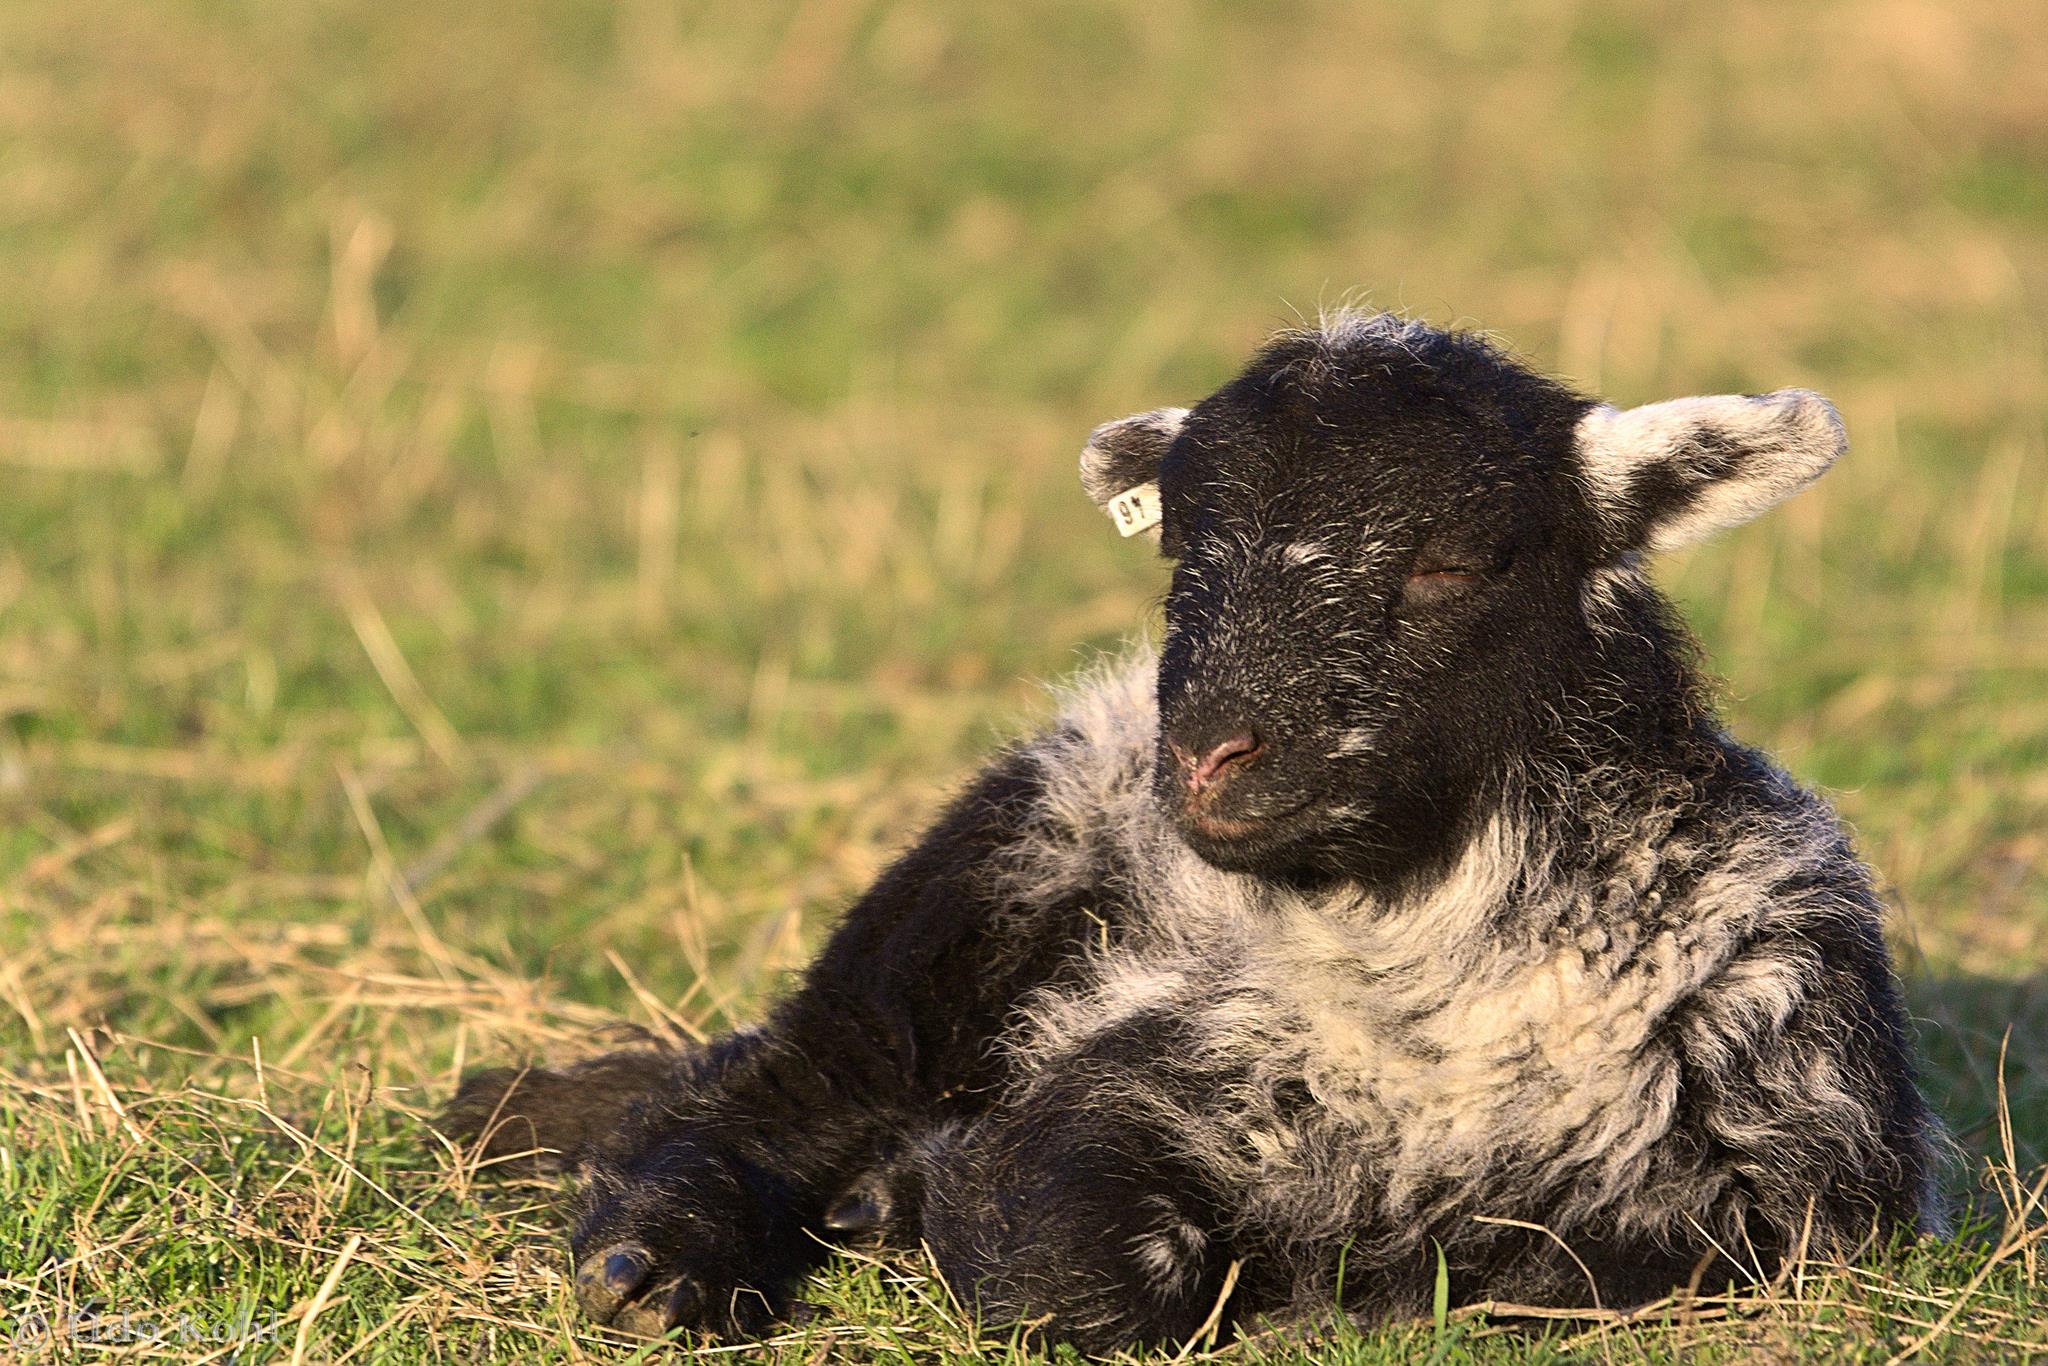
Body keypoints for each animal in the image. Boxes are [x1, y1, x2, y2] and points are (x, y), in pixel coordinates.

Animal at [441, 309, 1944, 1353]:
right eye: (1179, 552)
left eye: (1453, 559)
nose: (1208, 753)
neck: (1429, 952)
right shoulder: (1138, 1071)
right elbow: (1075, 1270)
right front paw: (936, 1203)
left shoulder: (1784, 1181)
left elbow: (1547, 1271)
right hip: (995, 858)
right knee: (783, 1071)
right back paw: (657, 1257)